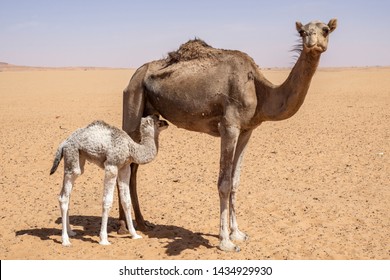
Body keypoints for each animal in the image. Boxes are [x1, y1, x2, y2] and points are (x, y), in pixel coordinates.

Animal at [49, 115, 168, 246]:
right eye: (157, 121)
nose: (166, 122)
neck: (131, 148)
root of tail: (63, 143)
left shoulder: (124, 168)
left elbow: (126, 201)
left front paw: (135, 235)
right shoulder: (111, 166)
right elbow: (107, 202)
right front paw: (104, 239)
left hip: (79, 158)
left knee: (66, 195)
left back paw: (71, 232)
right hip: (72, 155)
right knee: (64, 197)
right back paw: (65, 240)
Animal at [118, 19, 336, 252]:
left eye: (325, 30)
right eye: (302, 31)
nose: (312, 41)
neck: (260, 90)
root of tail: (135, 75)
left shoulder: (247, 130)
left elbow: (235, 181)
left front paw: (238, 233)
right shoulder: (229, 127)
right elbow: (223, 183)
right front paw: (225, 241)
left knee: (133, 168)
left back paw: (142, 223)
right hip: (133, 98)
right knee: (126, 163)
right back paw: (123, 227)